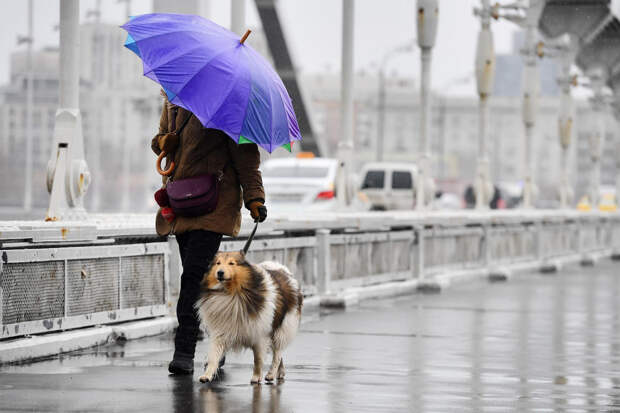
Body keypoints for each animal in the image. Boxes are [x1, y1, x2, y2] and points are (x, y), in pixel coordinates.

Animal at [196, 251, 302, 384]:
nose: (219, 272)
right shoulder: (221, 331)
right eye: (218, 263)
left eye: (232, 263)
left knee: (277, 355)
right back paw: (280, 373)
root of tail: (284, 272)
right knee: (279, 355)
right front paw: (206, 375)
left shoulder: (260, 335)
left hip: (282, 330)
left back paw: (271, 374)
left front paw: (256, 377)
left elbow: (258, 359)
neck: (231, 292)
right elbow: (214, 355)